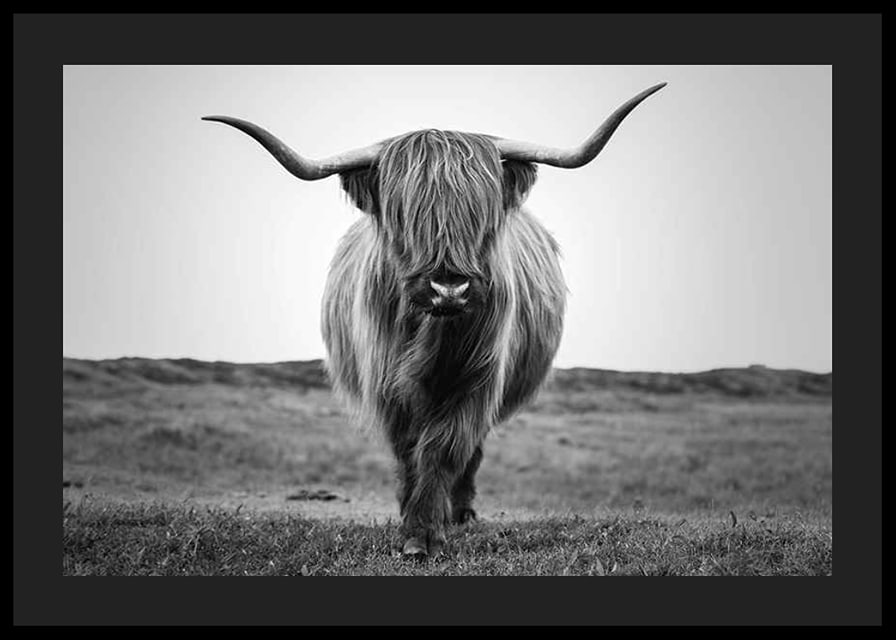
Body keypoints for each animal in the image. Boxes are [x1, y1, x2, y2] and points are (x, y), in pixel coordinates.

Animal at [203, 82, 666, 557]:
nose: (449, 289)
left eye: (481, 213)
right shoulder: (387, 385)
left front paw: (426, 531)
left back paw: (460, 512)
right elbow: (409, 449)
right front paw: (412, 523)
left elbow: (444, 448)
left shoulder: (477, 380)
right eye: (404, 215)